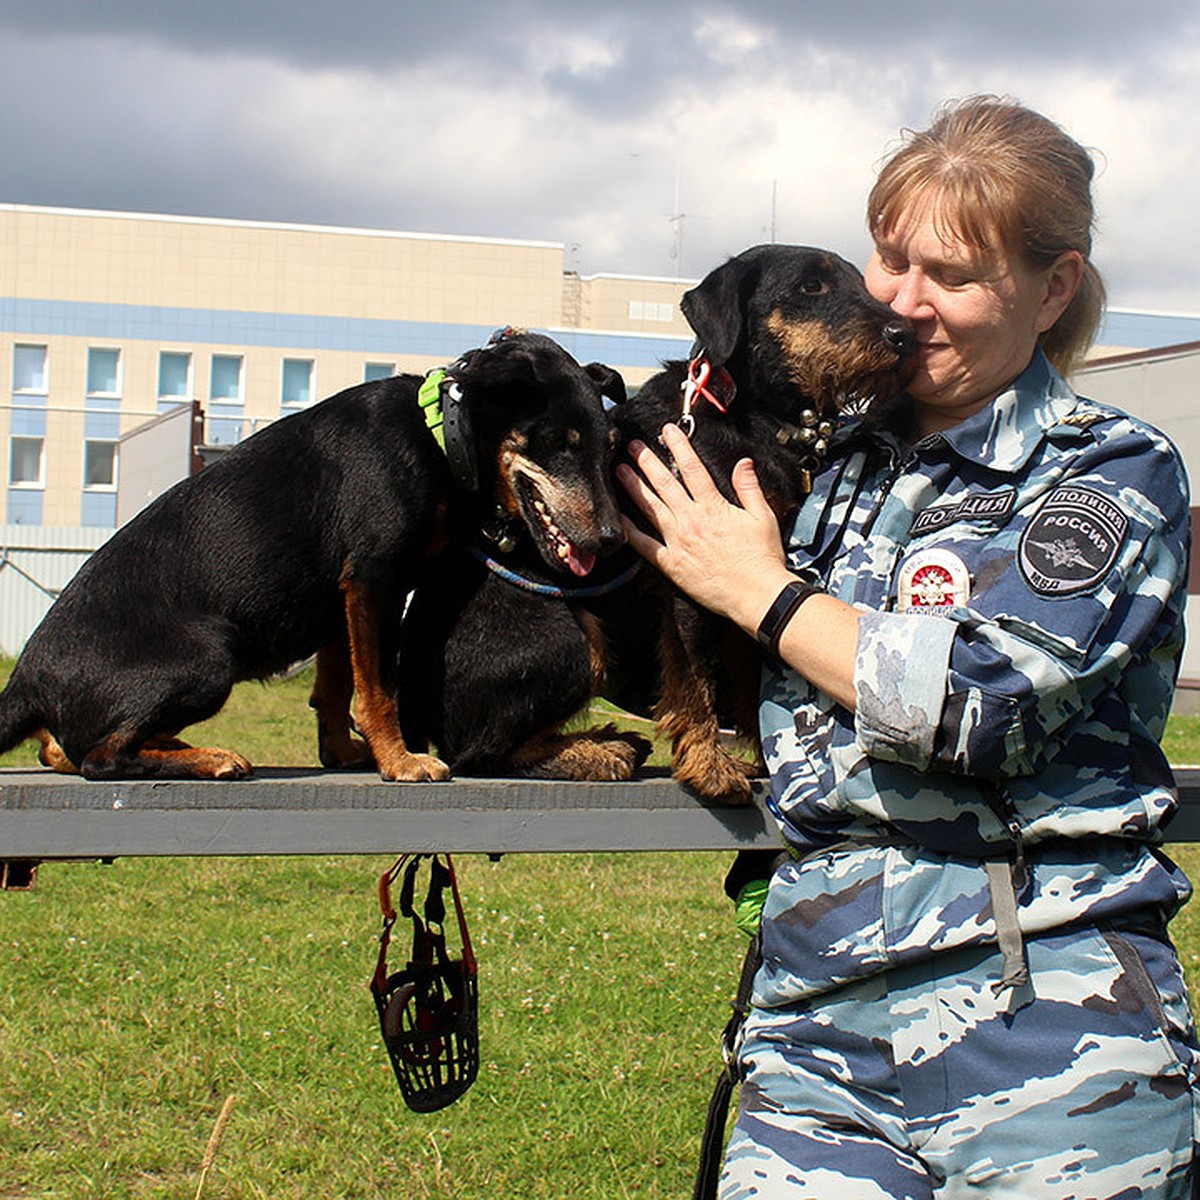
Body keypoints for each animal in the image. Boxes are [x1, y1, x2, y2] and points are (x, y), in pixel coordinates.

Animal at [0, 331, 624, 777]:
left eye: (607, 445)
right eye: (557, 442)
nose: (613, 538)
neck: (436, 435)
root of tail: (28, 680)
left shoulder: (341, 597)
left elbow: (336, 685)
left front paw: (345, 754)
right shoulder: (374, 577)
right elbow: (377, 689)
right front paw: (400, 762)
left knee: (62, 749)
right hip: (210, 658)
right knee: (99, 758)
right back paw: (208, 758)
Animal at [398, 246, 912, 796]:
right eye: (810, 286)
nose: (904, 335)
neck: (749, 414)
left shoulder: (752, 577)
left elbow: (749, 669)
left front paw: (757, 759)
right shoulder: (692, 578)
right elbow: (696, 675)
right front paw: (710, 766)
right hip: (570, 639)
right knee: (478, 753)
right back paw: (596, 753)